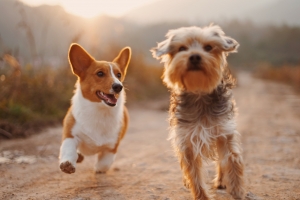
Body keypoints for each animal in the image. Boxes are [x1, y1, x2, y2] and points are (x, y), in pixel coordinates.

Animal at [59, 43, 131, 173]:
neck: (99, 111)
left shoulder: (111, 147)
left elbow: (104, 164)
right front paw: (67, 163)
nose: (119, 86)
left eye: (119, 75)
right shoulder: (71, 134)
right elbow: (68, 149)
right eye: (100, 73)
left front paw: (98, 169)